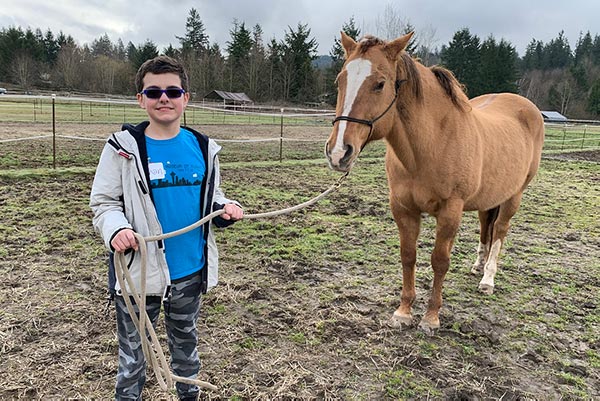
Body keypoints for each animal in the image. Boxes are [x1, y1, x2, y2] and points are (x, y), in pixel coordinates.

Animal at [326, 31, 548, 332]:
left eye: (380, 84)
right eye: (340, 81)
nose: (339, 152)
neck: (431, 144)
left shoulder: (450, 211)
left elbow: (440, 261)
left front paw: (431, 317)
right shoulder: (403, 209)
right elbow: (408, 256)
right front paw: (404, 311)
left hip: (514, 196)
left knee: (500, 230)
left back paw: (487, 279)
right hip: (488, 199)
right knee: (486, 227)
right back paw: (478, 266)